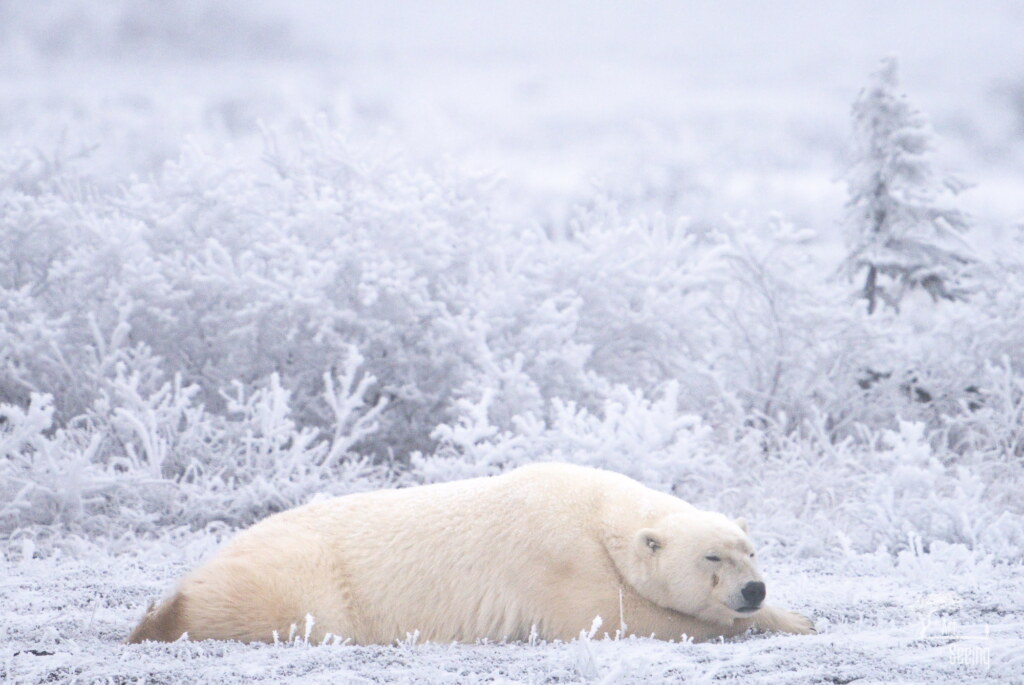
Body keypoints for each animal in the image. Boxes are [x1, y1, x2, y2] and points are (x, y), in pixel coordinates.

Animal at [127, 462, 814, 644]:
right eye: (711, 559)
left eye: (750, 552)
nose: (753, 588)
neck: (596, 517)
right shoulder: (559, 562)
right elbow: (617, 617)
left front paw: (796, 616)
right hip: (302, 580)